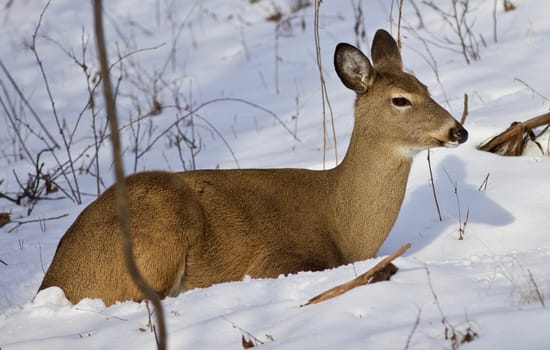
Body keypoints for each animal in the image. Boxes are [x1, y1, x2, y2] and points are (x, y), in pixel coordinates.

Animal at [40, 30, 470, 308]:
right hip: (158, 225)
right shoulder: (275, 261)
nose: (459, 130)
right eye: (400, 99)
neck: (343, 223)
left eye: (426, 88)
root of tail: (56, 278)